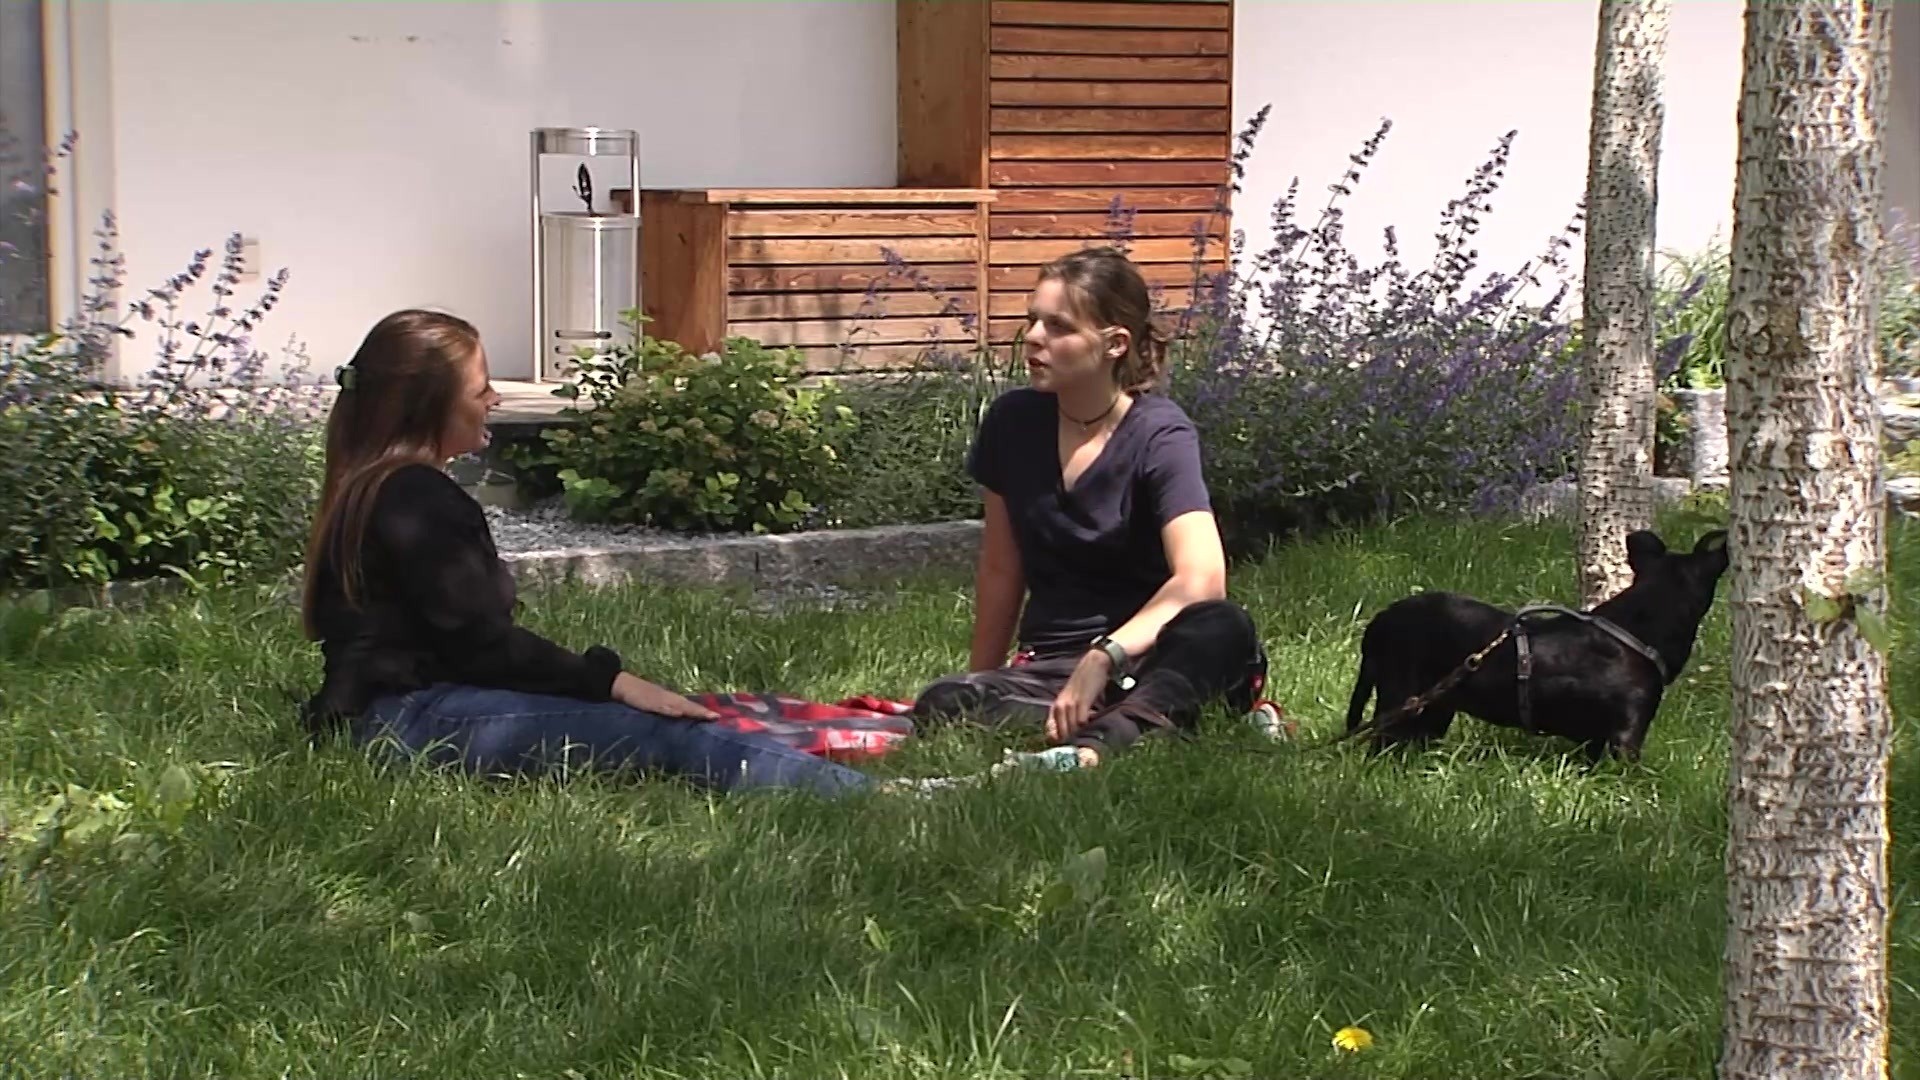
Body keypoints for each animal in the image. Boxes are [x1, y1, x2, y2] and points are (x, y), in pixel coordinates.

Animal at [1344, 528, 1730, 763]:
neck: (1642, 627)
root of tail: (1379, 622)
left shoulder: (1595, 742)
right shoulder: (1627, 735)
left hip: (1435, 710)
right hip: (1401, 701)